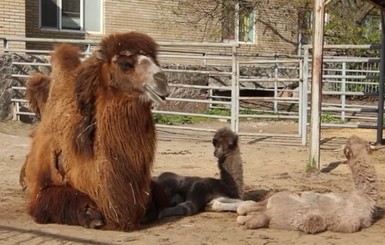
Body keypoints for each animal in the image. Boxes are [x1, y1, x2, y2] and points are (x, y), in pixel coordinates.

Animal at [236, 136, 376, 234]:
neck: (363, 197)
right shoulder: (353, 223)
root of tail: (270, 213)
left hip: (276, 199)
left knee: (244, 211)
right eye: (365, 144)